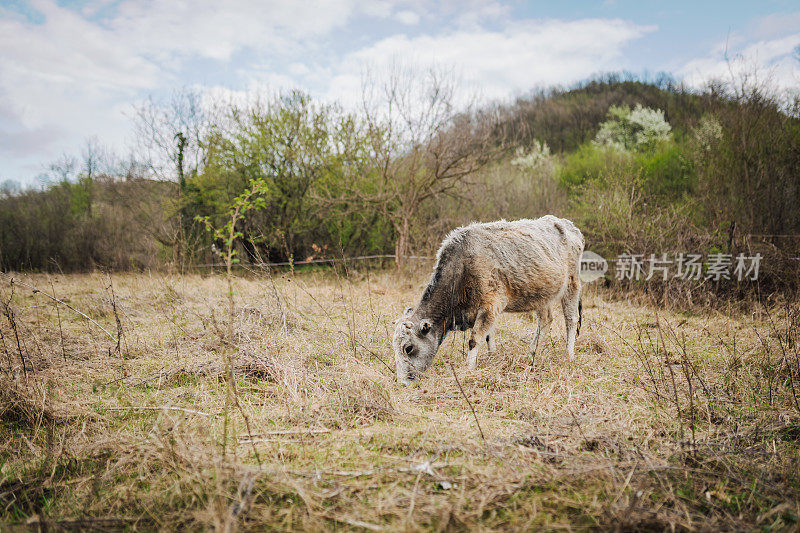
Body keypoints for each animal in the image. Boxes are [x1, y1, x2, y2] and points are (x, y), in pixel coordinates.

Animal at [396, 214, 588, 384]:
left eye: (408, 348)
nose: (403, 382)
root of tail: (566, 224)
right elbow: (489, 335)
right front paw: (492, 357)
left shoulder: (490, 304)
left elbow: (474, 339)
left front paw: (468, 368)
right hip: (542, 294)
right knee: (545, 320)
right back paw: (531, 354)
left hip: (572, 283)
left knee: (571, 320)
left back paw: (568, 355)